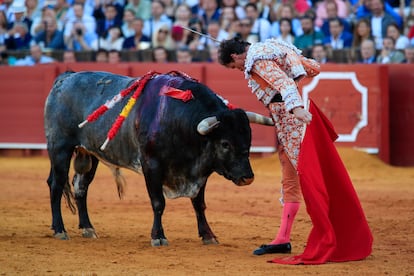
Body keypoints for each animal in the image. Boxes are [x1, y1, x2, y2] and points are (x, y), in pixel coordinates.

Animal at [43, 70, 274, 245]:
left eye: (248, 139)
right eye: (225, 143)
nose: (247, 177)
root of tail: (65, 77)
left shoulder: (199, 172)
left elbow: (199, 204)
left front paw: (208, 236)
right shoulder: (151, 165)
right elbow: (158, 202)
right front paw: (158, 237)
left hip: (89, 154)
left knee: (80, 187)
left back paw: (88, 229)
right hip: (60, 148)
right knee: (56, 185)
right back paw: (60, 230)